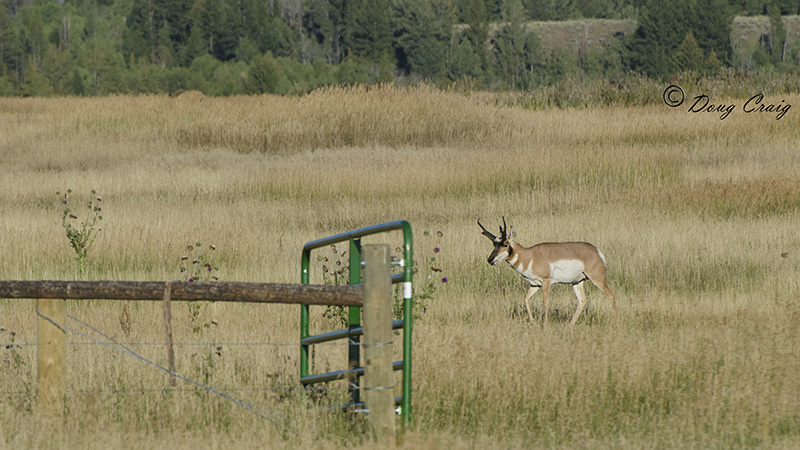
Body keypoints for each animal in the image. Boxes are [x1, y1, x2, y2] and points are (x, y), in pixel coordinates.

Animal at [478, 218, 616, 325]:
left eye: (505, 244)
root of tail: (596, 250)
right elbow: (525, 299)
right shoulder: (534, 284)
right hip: (577, 282)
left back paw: (614, 320)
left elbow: (545, 302)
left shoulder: (546, 281)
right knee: (582, 300)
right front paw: (533, 321)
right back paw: (570, 324)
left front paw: (544, 324)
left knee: (611, 294)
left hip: (597, 278)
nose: (490, 260)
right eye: (494, 244)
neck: (530, 255)